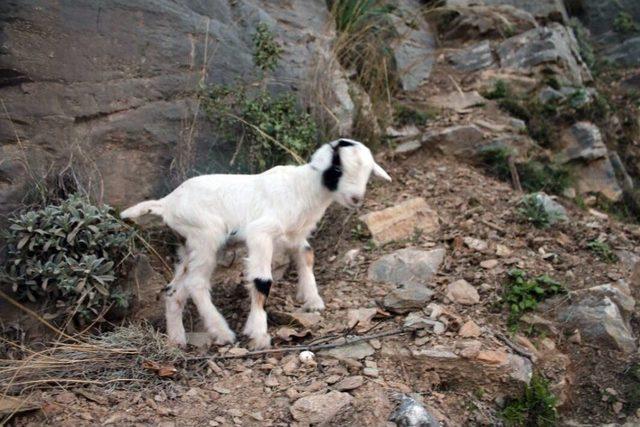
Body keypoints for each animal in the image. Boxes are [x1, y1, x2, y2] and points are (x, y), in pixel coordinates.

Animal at [120, 139, 390, 350]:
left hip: (188, 245)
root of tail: (167, 203)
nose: (356, 198)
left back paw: (177, 340)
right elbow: (262, 281)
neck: (304, 188)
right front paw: (258, 334)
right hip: (206, 236)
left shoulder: (294, 235)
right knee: (196, 283)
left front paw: (312, 299)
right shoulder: (260, 233)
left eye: (367, 173)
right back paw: (222, 333)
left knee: (174, 289)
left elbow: (307, 255)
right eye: (336, 168)